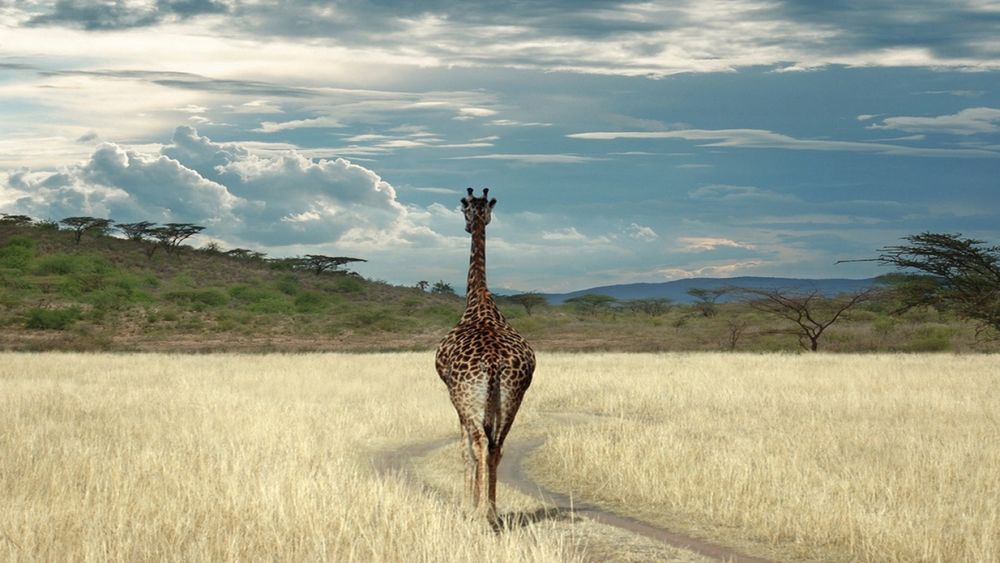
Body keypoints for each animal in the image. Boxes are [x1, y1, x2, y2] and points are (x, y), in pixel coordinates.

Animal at [435, 188, 535, 524]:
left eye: (464, 210)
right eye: (474, 210)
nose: (468, 226)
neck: (478, 300)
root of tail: (494, 364)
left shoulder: (454, 398)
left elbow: (464, 450)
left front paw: (467, 505)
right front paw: (480, 504)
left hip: (469, 399)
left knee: (480, 443)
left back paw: (480, 511)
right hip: (512, 397)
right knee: (497, 445)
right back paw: (491, 510)